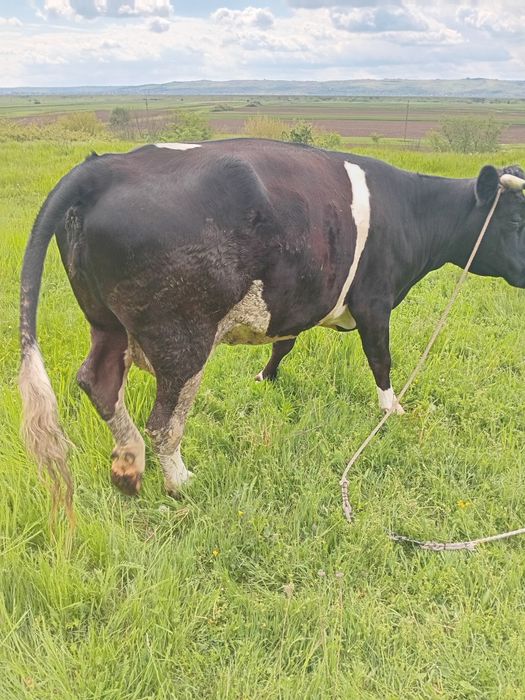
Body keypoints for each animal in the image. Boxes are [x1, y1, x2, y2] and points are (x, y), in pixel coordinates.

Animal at [19, 139, 525, 514]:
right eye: (516, 218)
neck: (409, 212)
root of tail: (104, 167)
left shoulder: (298, 297)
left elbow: (285, 343)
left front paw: (265, 377)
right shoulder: (374, 301)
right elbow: (380, 358)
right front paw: (392, 410)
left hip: (107, 323)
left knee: (99, 382)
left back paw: (129, 466)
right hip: (182, 337)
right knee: (164, 421)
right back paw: (180, 481)